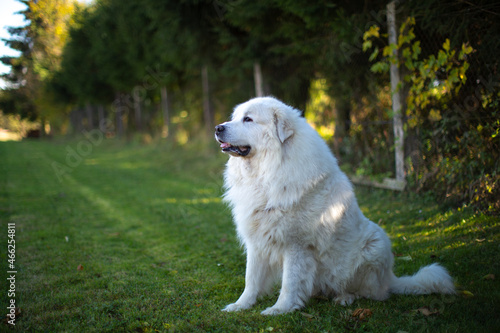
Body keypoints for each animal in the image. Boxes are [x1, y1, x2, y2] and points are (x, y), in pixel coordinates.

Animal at [213, 96, 456, 314]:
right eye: (234, 118)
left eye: (248, 119)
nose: (218, 128)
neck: (269, 171)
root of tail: (390, 278)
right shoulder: (257, 240)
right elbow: (251, 279)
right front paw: (240, 305)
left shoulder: (296, 245)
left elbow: (290, 283)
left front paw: (280, 309)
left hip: (375, 244)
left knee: (372, 294)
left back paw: (345, 298)